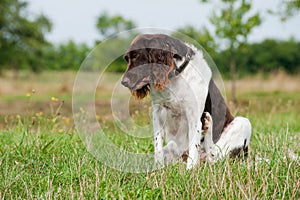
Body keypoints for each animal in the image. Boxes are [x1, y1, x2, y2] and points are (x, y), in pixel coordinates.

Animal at [120, 34, 252, 169]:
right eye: (126, 59)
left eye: (136, 55)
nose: (123, 82)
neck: (175, 76)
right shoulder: (157, 113)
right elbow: (157, 146)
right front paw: (158, 168)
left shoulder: (194, 117)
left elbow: (194, 148)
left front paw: (190, 170)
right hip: (173, 147)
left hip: (243, 123)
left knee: (214, 158)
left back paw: (208, 123)